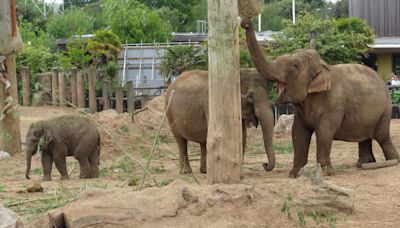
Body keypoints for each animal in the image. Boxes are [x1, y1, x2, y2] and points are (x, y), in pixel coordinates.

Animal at [239, 17, 398, 178]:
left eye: (295, 66)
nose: (245, 22)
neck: (323, 67)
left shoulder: (335, 103)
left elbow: (324, 132)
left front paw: (326, 173)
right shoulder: (301, 111)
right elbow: (298, 133)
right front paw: (294, 174)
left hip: (385, 110)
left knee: (382, 136)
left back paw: (391, 162)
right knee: (365, 137)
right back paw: (363, 164)